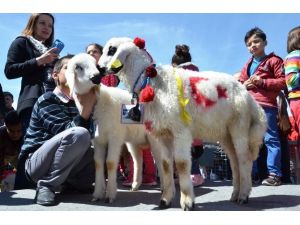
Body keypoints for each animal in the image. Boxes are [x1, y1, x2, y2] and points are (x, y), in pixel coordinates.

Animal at [65, 53, 162, 203]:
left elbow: (110, 163)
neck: (99, 101)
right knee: (137, 158)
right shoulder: (98, 140)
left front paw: (110, 194)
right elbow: (98, 163)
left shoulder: (114, 137)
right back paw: (135, 184)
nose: (96, 77)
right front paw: (98, 193)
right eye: (78, 67)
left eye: (95, 64)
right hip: (133, 140)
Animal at [99, 37, 268, 211]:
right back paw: (235, 194)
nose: (99, 69)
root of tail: (251, 100)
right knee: (234, 162)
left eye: (112, 50)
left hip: (239, 126)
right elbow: (166, 164)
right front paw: (165, 200)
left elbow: (181, 164)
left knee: (244, 159)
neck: (152, 82)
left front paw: (187, 201)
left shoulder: (180, 131)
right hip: (225, 133)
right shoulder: (163, 134)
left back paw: (243, 196)